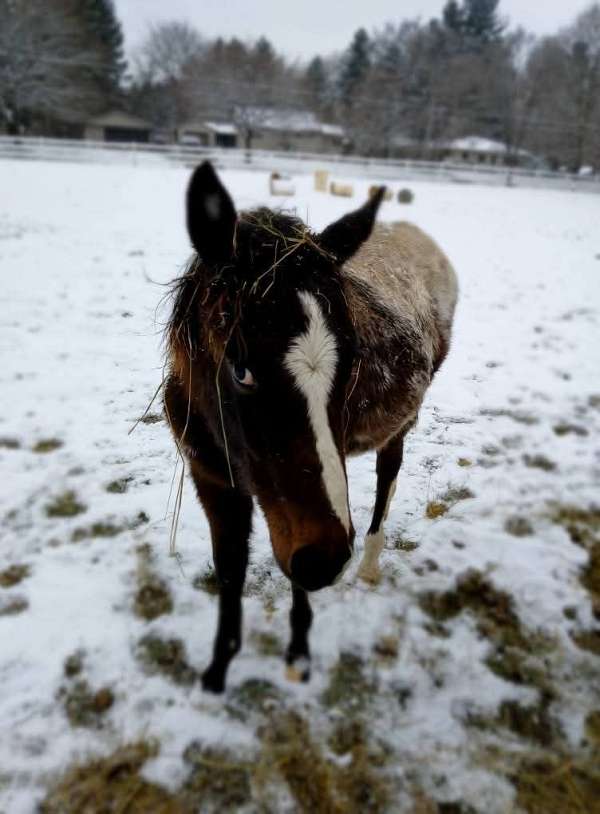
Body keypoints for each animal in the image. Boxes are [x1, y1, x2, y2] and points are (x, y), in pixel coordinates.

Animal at [162, 161, 458, 696]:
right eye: (240, 369)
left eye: (355, 355)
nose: (327, 562)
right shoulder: (212, 481)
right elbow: (230, 571)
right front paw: (217, 670)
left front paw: (298, 658)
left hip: (400, 427)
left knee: (387, 479)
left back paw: (369, 566)